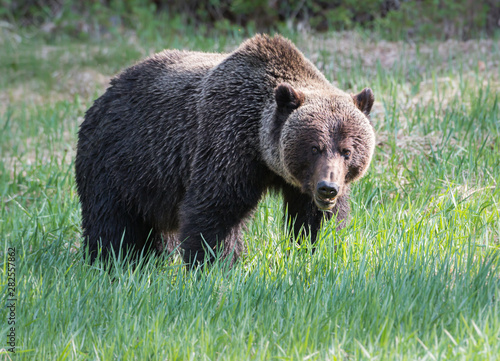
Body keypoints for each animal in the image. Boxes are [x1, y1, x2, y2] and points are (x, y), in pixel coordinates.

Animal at [76, 33, 376, 266]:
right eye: (314, 147)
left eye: (347, 151)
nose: (328, 188)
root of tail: (106, 93)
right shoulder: (228, 140)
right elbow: (216, 210)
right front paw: (215, 266)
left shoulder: (301, 183)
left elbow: (316, 221)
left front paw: (316, 252)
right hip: (119, 160)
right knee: (112, 222)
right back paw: (113, 261)